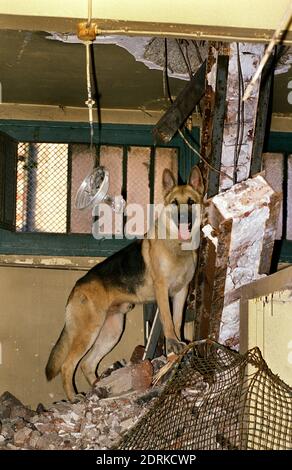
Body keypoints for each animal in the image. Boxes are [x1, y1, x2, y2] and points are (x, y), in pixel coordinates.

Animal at [46, 165, 204, 400]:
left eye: (191, 202)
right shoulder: (163, 291)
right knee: (68, 365)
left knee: (87, 364)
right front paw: (172, 343)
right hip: (88, 332)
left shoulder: (181, 292)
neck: (176, 245)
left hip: (112, 331)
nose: (184, 219)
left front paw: (179, 343)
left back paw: (102, 389)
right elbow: (167, 320)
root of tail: (77, 286)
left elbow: (177, 321)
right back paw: (75, 397)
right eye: (175, 203)